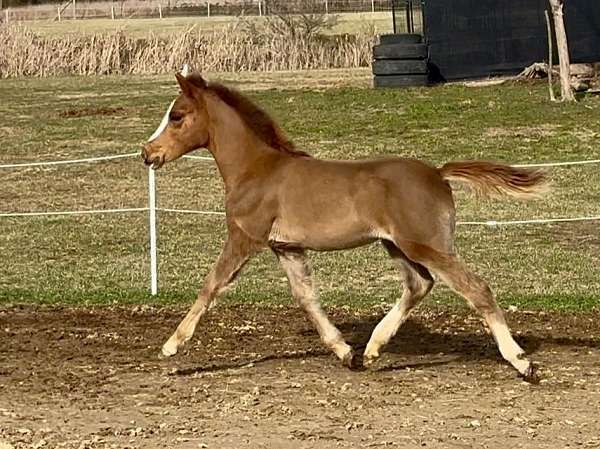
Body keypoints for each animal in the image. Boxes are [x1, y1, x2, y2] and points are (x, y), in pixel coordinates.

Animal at [143, 73, 548, 382]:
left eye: (176, 116)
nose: (148, 153)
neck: (257, 170)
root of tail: (437, 173)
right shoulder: (287, 247)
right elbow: (306, 299)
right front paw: (344, 351)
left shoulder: (244, 237)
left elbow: (210, 285)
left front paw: (171, 345)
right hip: (395, 245)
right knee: (419, 285)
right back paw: (370, 351)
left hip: (424, 244)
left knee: (475, 287)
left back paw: (522, 362)